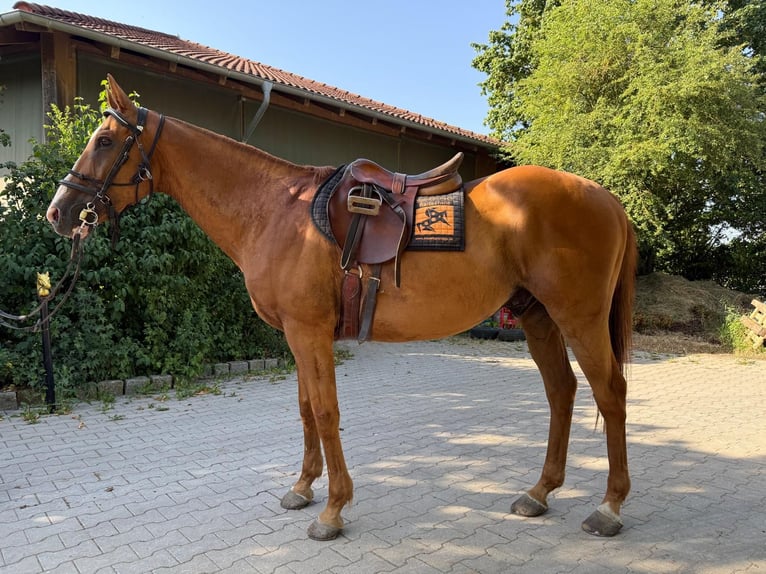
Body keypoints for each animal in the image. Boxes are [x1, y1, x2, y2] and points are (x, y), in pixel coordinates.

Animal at [46, 75, 637, 541]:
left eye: (104, 140)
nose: (58, 211)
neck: (275, 211)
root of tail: (607, 198)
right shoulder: (295, 335)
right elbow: (307, 409)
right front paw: (302, 488)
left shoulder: (309, 332)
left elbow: (327, 413)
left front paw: (332, 509)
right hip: (538, 317)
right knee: (562, 393)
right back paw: (538, 493)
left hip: (579, 318)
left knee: (610, 394)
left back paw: (609, 507)